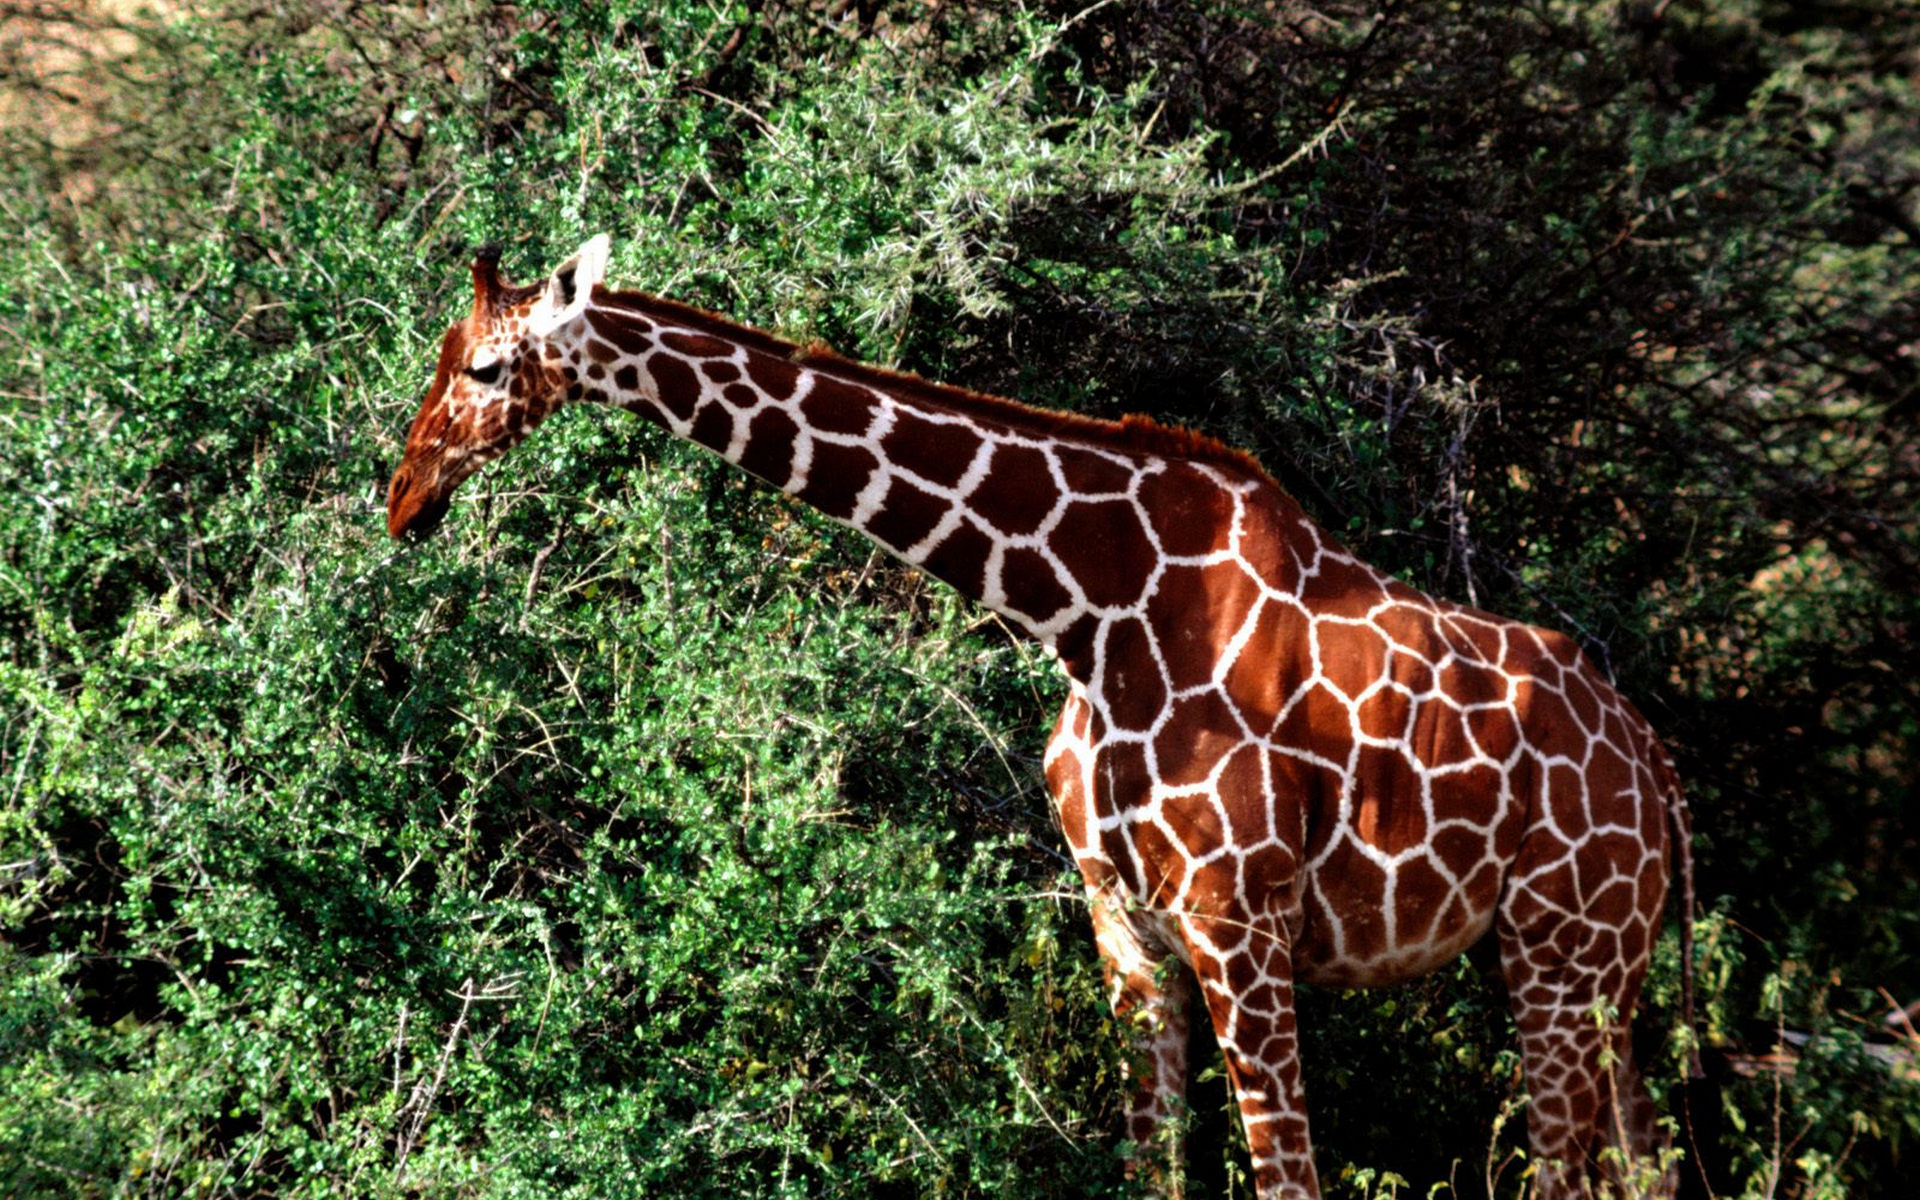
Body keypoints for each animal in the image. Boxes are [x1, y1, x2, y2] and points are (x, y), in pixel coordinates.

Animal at [385, 236, 1697, 1198]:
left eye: (486, 370)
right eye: (442, 355)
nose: (404, 499)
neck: (1091, 610)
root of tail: (1658, 769)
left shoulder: (1241, 925)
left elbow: (1289, 1180)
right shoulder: (1126, 929)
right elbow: (1155, 1172)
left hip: (1559, 947)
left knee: (1569, 1173)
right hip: (1607, 970)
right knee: (1640, 1164)